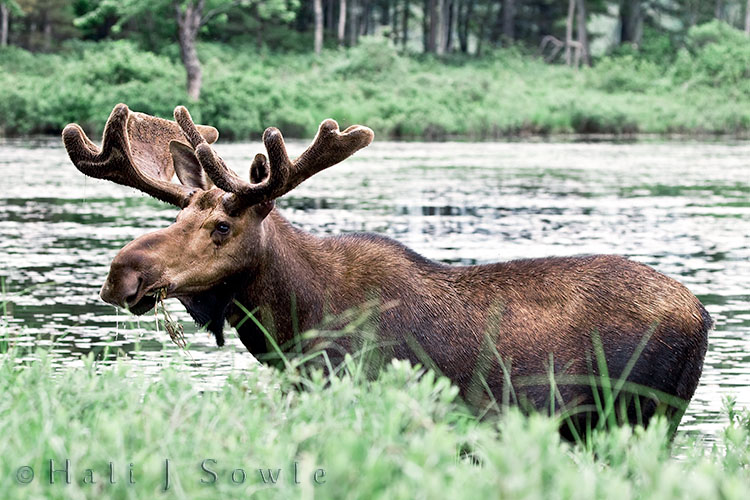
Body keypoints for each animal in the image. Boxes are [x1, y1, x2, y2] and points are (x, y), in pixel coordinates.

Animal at [63, 104, 711, 437]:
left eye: (222, 226)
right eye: (176, 218)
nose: (122, 272)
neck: (293, 321)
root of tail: (703, 316)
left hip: (638, 418)